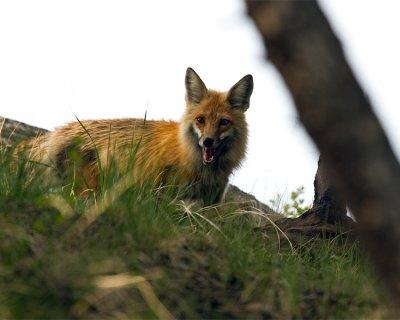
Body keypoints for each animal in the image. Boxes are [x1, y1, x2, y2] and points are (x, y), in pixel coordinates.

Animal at [21, 69, 253, 206]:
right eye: (200, 120)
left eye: (224, 122)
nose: (208, 141)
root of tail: (54, 134)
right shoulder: (168, 199)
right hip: (88, 191)